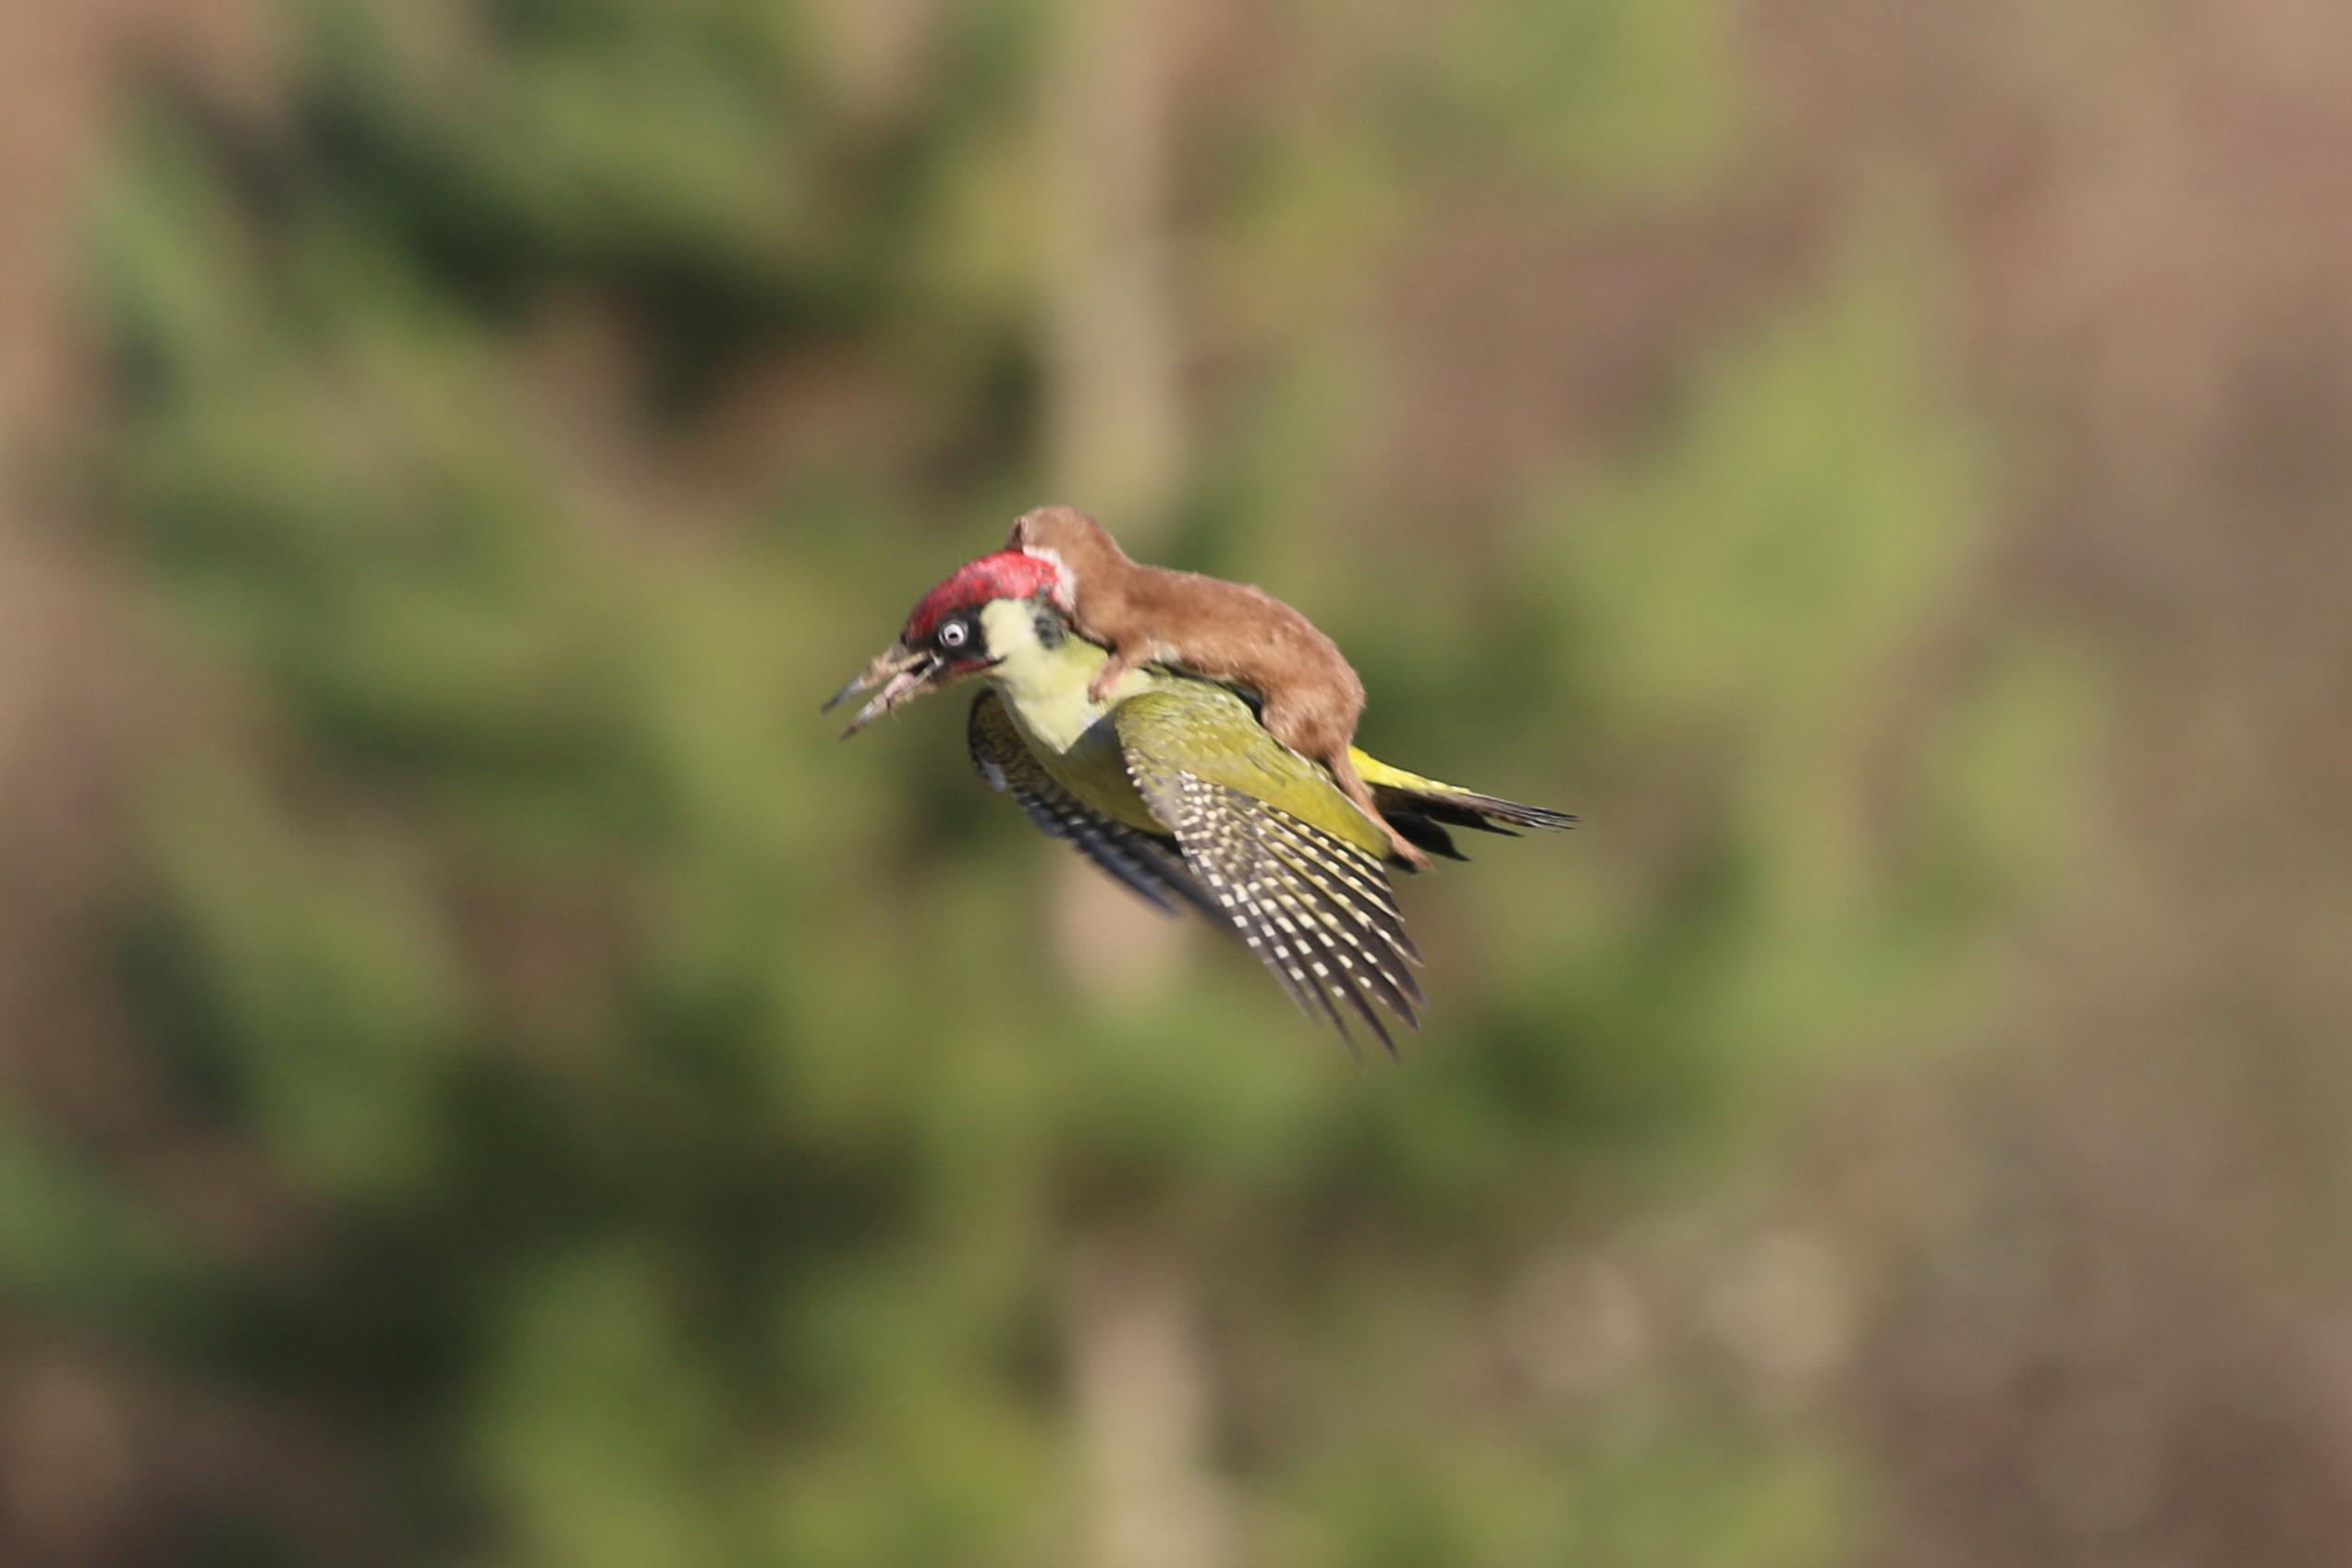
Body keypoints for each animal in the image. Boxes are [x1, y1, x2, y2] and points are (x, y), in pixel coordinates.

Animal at [1002, 505, 1420, 865]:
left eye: (1012, 536)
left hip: (1293, 707)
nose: (1001, 548)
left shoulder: (1130, 625)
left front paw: (1101, 684)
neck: (1096, 583)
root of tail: (1345, 726)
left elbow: (1131, 651)